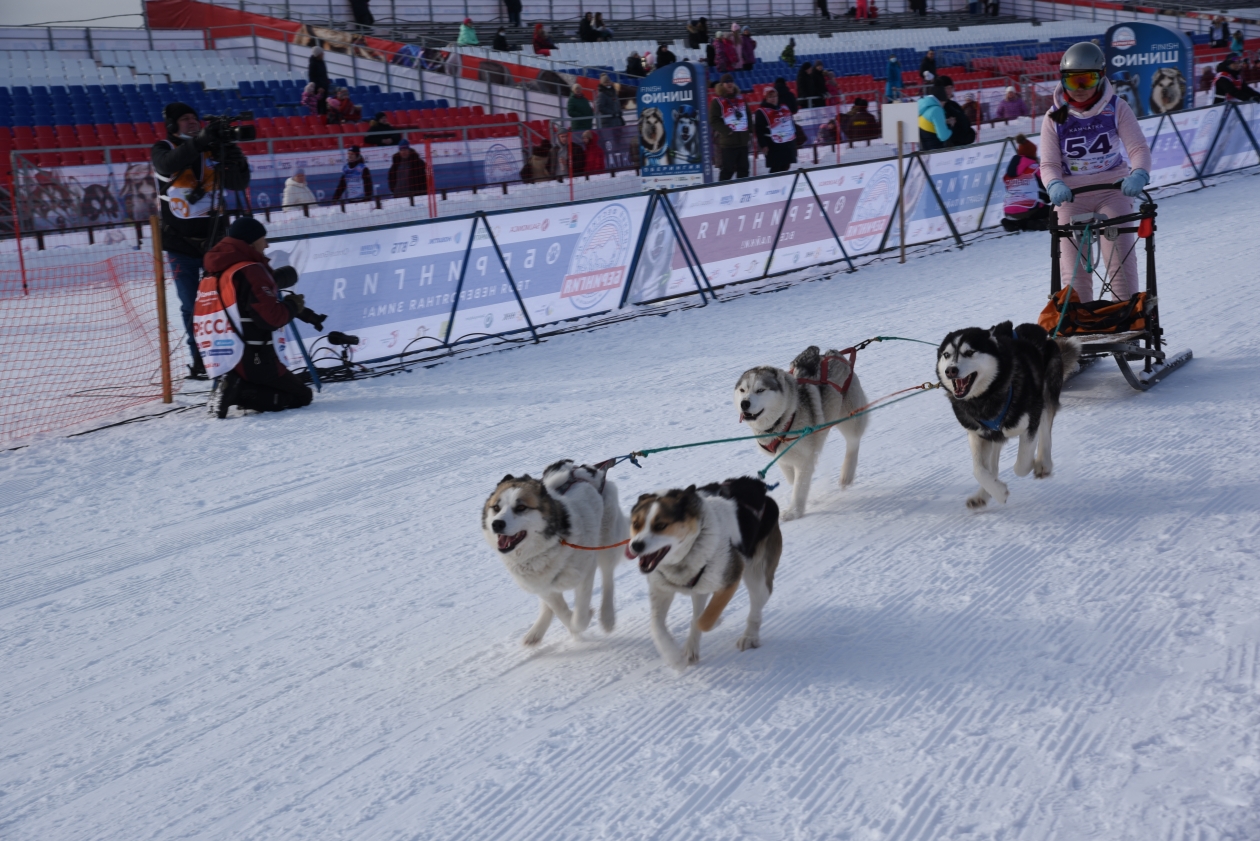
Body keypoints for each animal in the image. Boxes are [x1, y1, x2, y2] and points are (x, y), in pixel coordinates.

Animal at [478, 461, 627, 645]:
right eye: (496, 507)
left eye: (521, 507)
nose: (497, 524)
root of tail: (588, 470)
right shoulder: (543, 587)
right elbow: (561, 611)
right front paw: (572, 627)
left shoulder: (586, 572)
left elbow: (578, 616)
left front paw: (584, 619)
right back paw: (536, 632)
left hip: (606, 542)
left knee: (608, 578)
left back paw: (607, 617)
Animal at [627, 479, 781, 670]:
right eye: (636, 524)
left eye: (660, 526)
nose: (636, 545)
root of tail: (758, 486)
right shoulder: (661, 590)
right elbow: (656, 626)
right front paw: (673, 656)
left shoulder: (730, 580)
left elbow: (703, 620)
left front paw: (716, 621)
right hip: (701, 587)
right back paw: (691, 649)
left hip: (757, 579)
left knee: (755, 609)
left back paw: (750, 636)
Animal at [735, 342, 871, 519]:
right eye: (742, 390)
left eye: (760, 390)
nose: (744, 403)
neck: (783, 420)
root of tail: (834, 354)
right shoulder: (782, 457)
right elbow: (793, 479)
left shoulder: (804, 459)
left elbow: (799, 486)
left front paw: (794, 511)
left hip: (850, 419)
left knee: (853, 442)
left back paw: (846, 474)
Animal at [937, 320, 1083, 506]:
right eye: (946, 354)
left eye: (969, 352)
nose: (951, 370)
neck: (985, 398)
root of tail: (1037, 329)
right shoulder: (976, 434)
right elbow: (979, 470)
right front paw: (998, 491)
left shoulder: (1030, 423)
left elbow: (1021, 465)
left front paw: (1031, 465)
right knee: (992, 463)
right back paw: (982, 495)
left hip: (1045, 395)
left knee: (1045, 431)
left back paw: (1043, 463)